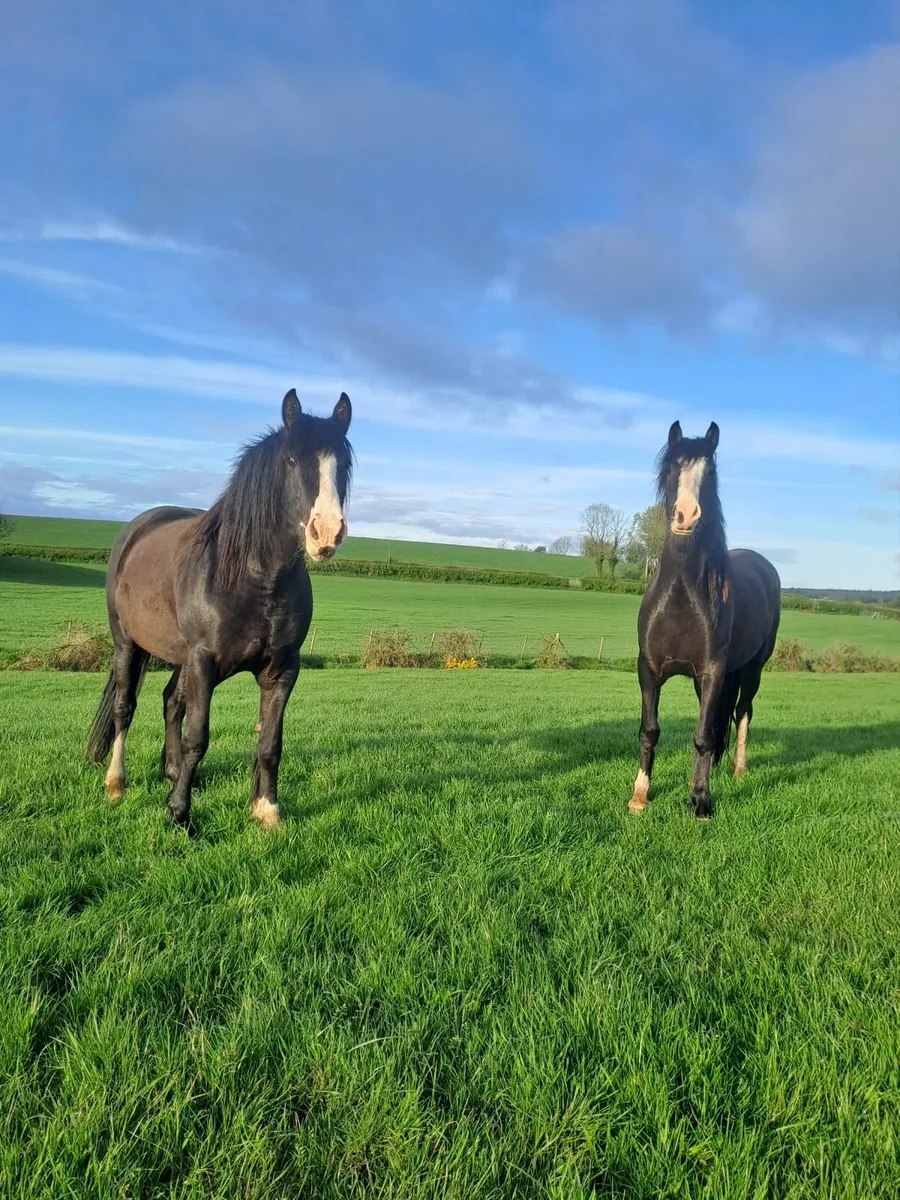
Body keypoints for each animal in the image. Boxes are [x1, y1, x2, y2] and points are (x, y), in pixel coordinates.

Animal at [85, 388, 353, 832]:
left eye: (343, 464)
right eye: (291, 459)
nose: (326, 533)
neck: (256, 580)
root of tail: (137, 528)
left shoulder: (282, 670)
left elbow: (269, 743)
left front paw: (267, 810)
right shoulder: (204, 662)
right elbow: (198, 736)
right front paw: (180, 814)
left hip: (179, 658)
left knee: (170, 702)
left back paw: (172, 772)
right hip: (128, 643)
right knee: (126, 708)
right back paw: (116, 783)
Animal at [629, 420, 781, 818]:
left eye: (709, 472)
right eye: (671, 469)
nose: (686, 515)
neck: (682, 597)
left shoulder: (713, 672)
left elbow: (702, 735)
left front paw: (701, 801)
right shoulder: (649, 669)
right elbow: (651, 730)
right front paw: (640, 795)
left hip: (752, 669)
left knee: (742, 712)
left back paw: (737, 769)